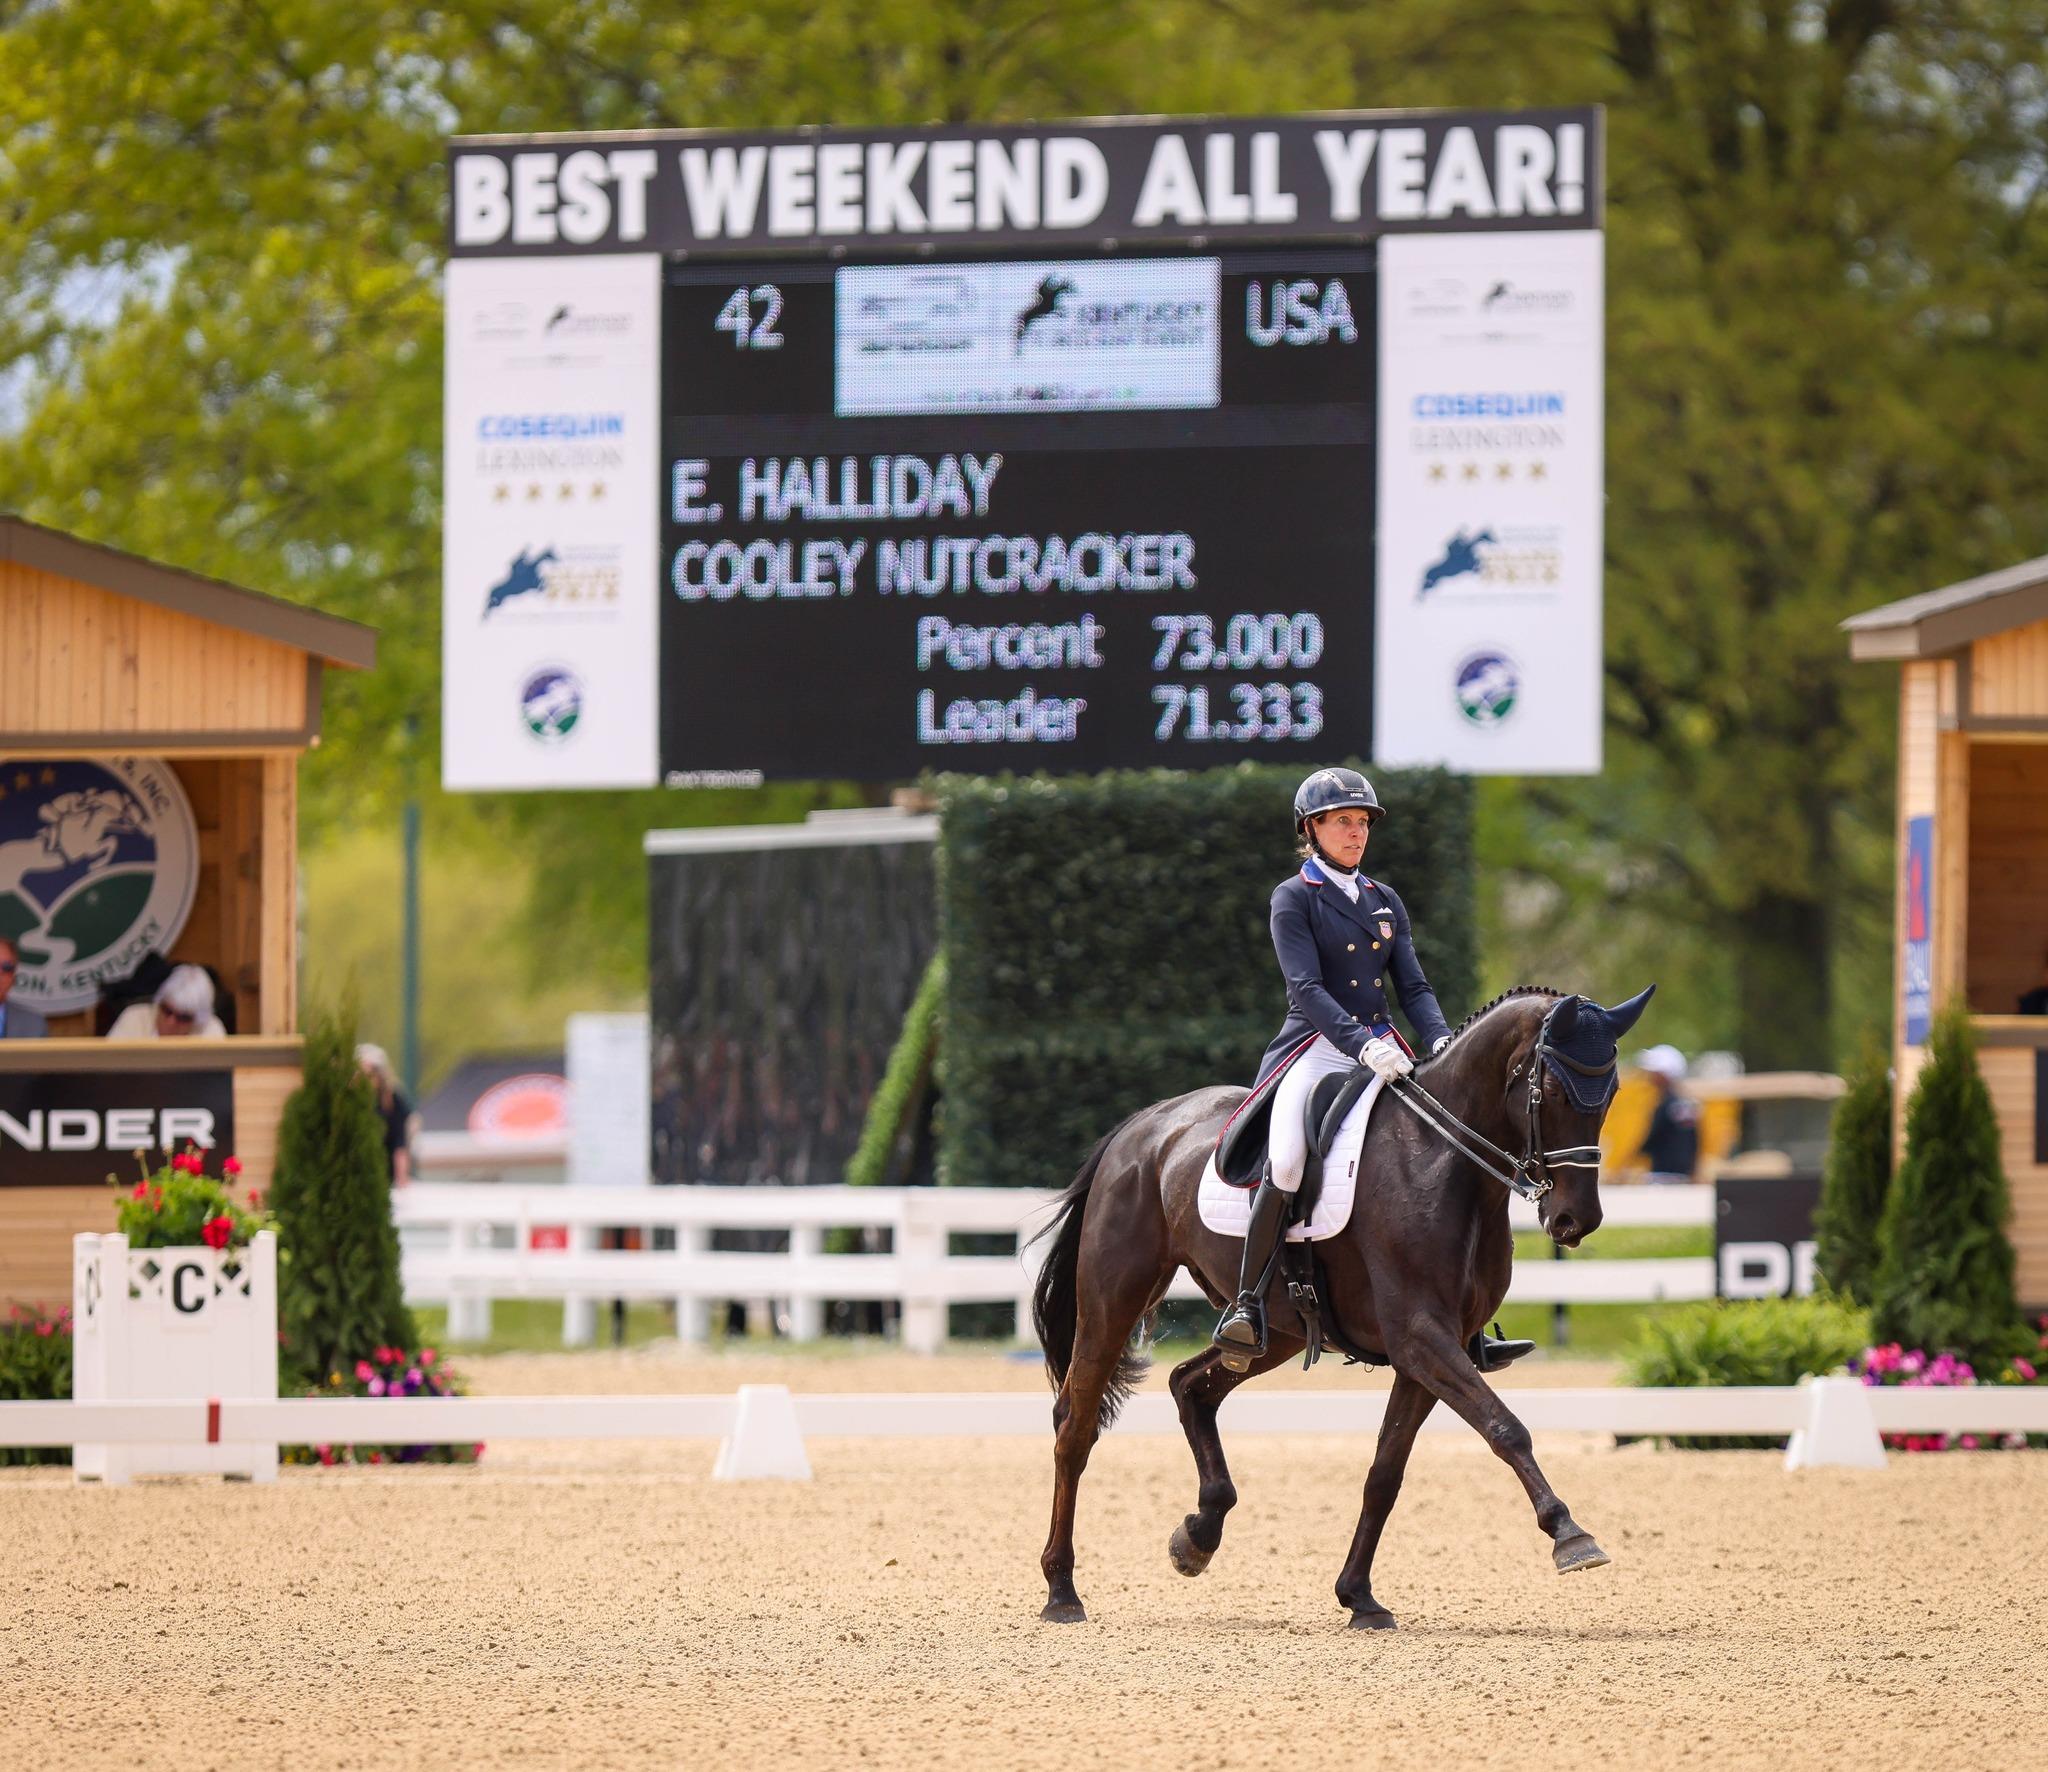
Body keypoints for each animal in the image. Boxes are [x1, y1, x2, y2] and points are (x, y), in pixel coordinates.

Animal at [1032, 987, 1654, 1622]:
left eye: (1611, 1092)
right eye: (1550, 1090)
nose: (1576, 1220)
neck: (1442, 1160)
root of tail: (1142, 1126)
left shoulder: (1432, 1347)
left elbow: (1385, 1472)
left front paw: (1359, 1596)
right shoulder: (1420, 1335)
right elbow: (1505, 1427)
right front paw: (1570, 1535)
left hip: (1274, 1332)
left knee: (1190, 1385)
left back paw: (1198, 1535)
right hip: (1115, 1299)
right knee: (1075, 1426)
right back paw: (1062, 1590)